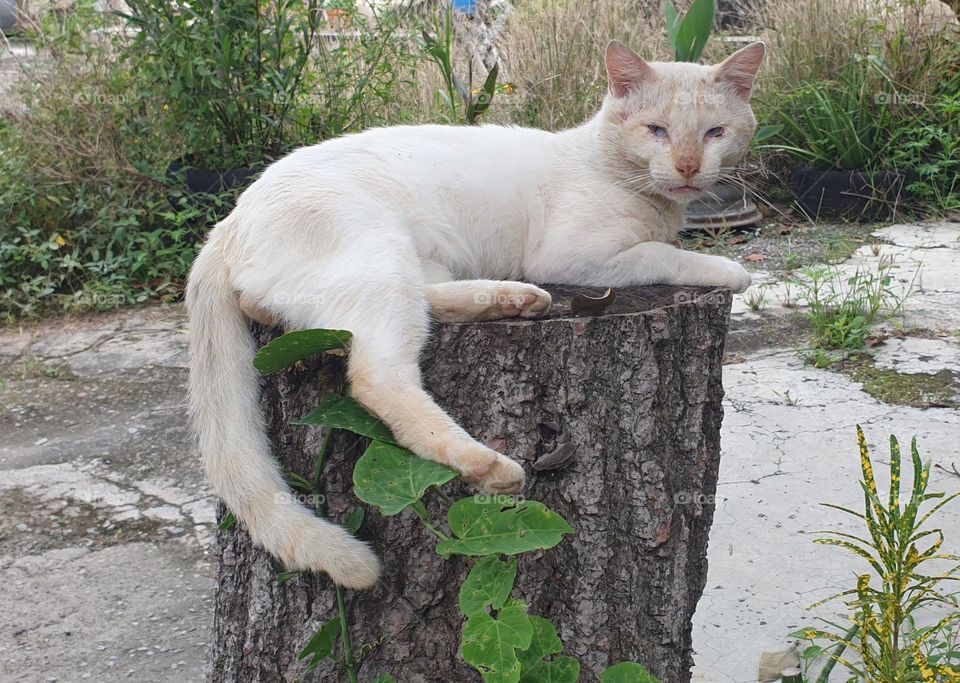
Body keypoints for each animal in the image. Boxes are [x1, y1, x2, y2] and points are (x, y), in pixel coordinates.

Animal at [186, 41, 764, 588]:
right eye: (657, 130)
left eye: (714, 133)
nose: (688, 166)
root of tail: (227, 222)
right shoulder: (577, 256)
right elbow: (665, 254)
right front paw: (728, 269)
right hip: (378, 254)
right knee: (376, 377)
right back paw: (484, 463)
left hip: (408, 263)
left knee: (421, 302)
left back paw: (515, 298)